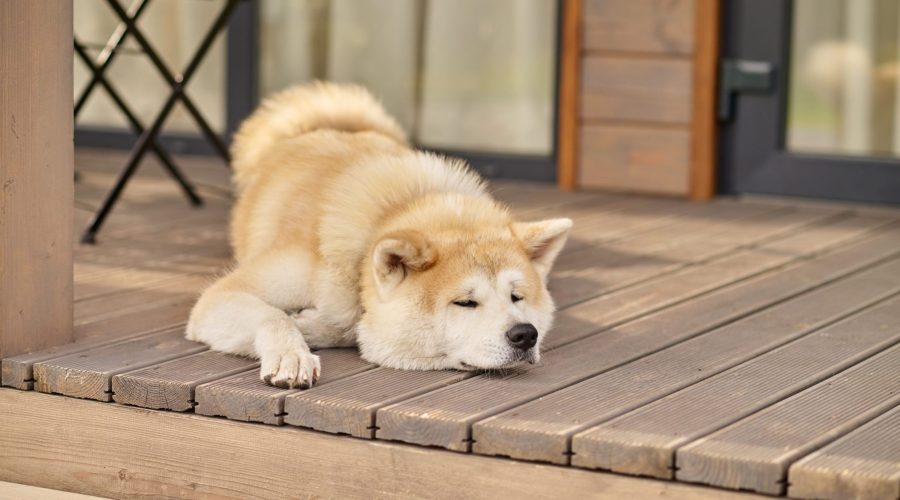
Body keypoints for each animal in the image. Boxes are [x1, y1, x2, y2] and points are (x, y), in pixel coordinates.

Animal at [186, 82, 572, 388]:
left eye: (517, 297)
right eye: (464, 302)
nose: (525, 334)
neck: (390, 213)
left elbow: (347, 324)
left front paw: (314, 326)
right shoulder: (223, 296)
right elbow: (274, 316)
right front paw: (292, 354)